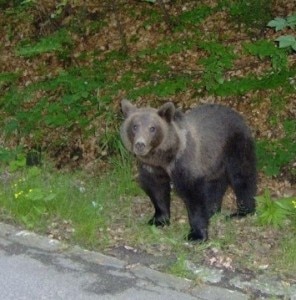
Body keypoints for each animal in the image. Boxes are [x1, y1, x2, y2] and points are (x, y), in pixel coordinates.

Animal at [120, 100, 256, 241]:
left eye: (152, 128)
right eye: (135, 126)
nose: (140, 144)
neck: (165, 158)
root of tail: (238, 115)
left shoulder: (185, 164)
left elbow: (193, 195)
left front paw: (196, 235)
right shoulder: (153, 168)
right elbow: (156, 190)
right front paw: (159, 219)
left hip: (235, 146)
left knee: (241, 176)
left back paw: (242, 211)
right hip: (213, 159)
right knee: (216, 182)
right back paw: (212, 209)